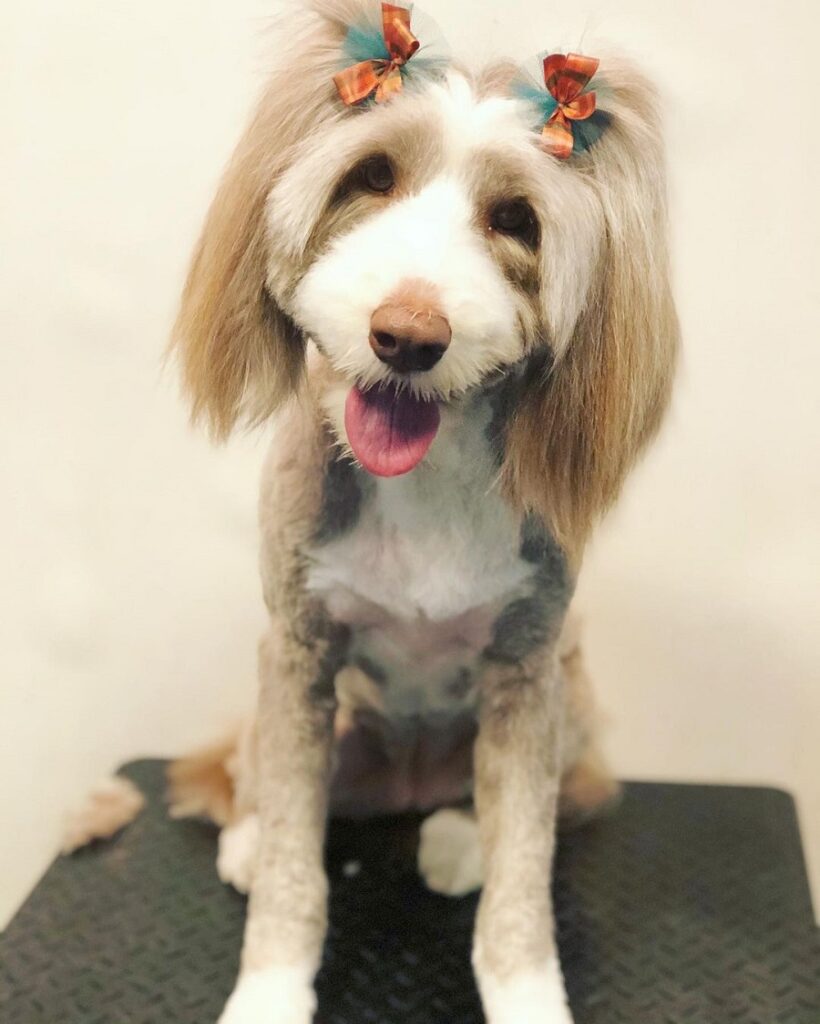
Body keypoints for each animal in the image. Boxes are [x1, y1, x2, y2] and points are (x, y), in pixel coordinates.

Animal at [161, 2, 679, 1024]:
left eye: (515, 219)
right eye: (370, 176)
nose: (406, 336)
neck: (427, 477)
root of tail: (405, 783)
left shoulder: (526, 671)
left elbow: (524, 876)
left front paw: (526, 991)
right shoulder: (298, 653)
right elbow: (295, 870)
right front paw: (270, 986)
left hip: (569, 698)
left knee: (559, 797)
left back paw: (461, 838)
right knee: (264, 783)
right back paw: (248, 836)